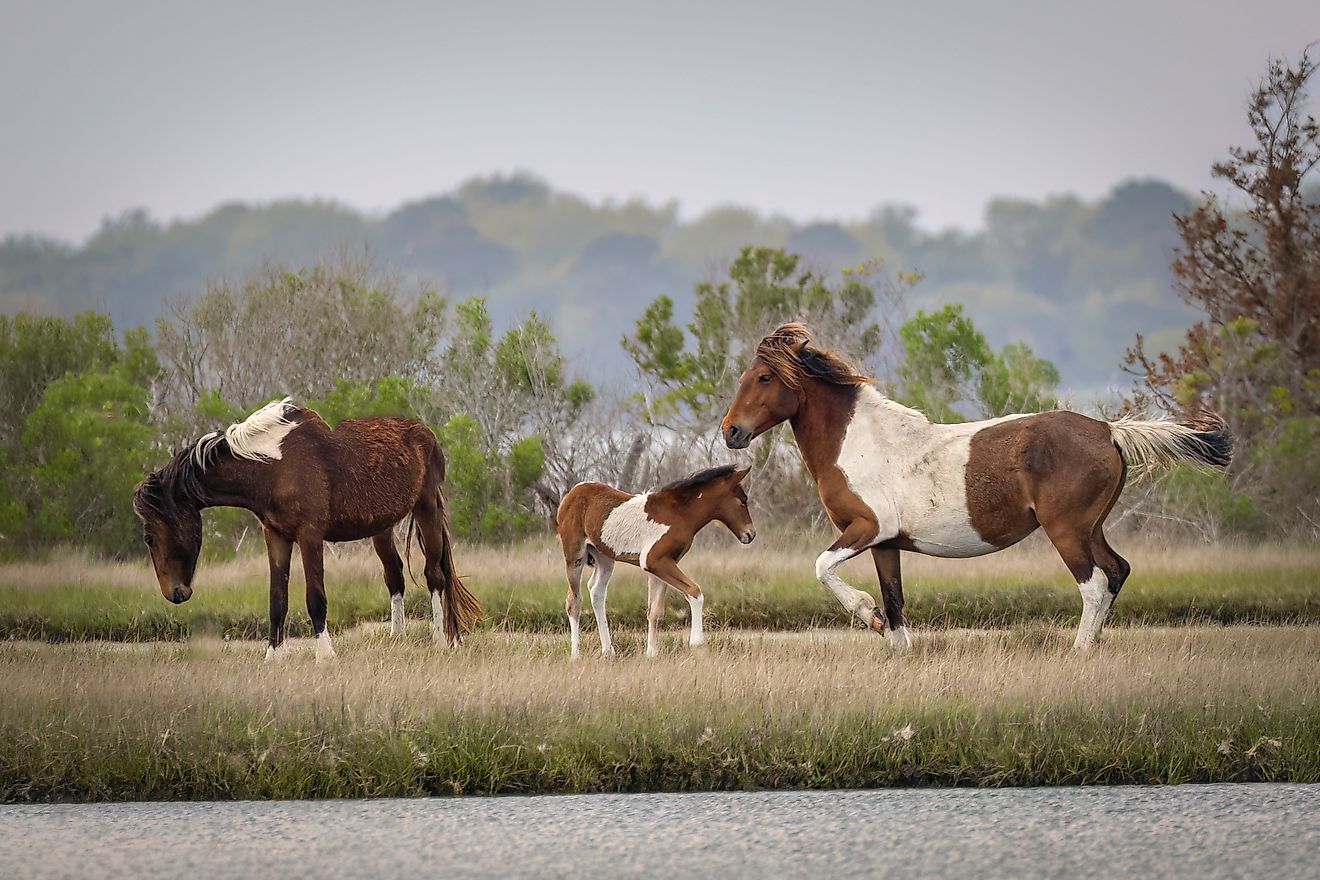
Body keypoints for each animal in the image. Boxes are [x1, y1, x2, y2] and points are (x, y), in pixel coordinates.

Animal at [132, 398, 482, 659]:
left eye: (149, 536)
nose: (174, 593)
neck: (274, 466)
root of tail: (426, 433)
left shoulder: (310, 536)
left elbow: (316, 597)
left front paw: (325, 656)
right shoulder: (276, 537)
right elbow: (277, 600)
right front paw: (273, 656)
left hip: (426, 510)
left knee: (434, 576)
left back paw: (441, 640)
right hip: (381, 528)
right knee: (394, 577)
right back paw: (398, 637)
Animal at [555, 464, 755, 657]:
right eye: (742, 501)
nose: (750, 534)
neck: (680, 513)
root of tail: (571, 493)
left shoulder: (662, 565)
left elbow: (655, 612)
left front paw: (652, 653)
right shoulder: (654, 561)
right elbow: (694, 591)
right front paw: (697, 644)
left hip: (604, 558)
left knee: (596, 592)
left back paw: (608, 651)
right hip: (575, 555)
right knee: (574, 602)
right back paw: (576, 655)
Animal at [720, 323, 1233, 650]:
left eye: (764, 376)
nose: (731, 432)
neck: (860, 441)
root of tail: (1108, 430)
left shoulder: (867, 527)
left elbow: (823, 567)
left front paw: (867, 615)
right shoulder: (885, 543)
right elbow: (895, 600)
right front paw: (895, 645)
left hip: (1066, 531)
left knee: (1094, 584)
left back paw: (1080, 651)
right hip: (1092, 527)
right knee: (1117, 571)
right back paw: (1098, 643)